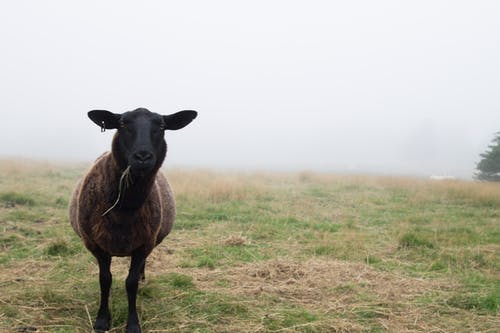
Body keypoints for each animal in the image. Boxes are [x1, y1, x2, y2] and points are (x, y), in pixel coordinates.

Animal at [70, 107, 197, 330]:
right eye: (122, 124)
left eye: (161, 126)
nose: (143, 156)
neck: (124, 208)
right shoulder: (96, 245)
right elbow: (105, 280)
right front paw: (102, 320)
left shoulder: (143, 245)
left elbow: (131, 283)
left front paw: (133, 324)